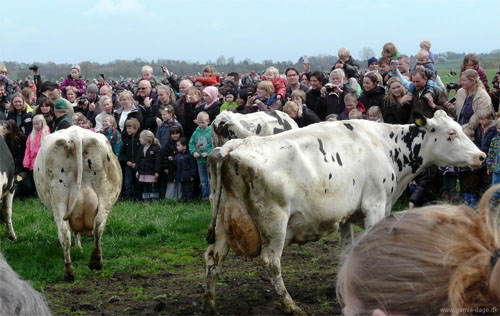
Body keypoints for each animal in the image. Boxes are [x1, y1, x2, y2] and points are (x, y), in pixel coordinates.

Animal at [34, 126, 122, 282]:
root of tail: (76, 135)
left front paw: (78, 247)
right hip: (106, 191)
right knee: (98, 224)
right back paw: (94, 262)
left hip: (59, 197)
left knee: (64, 232)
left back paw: (69, 271)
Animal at [203, 110, 484, 314]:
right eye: (451, 133)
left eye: (460, 128)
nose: (481, 156)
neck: (386, 146)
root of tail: (230, 148)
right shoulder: (375, 205)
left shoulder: (346, 214)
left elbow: (347, 250)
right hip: (274, 223)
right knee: (270, 262)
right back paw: (291, 306)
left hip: (224, 220)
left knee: (213, 258)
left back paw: (210, 306)